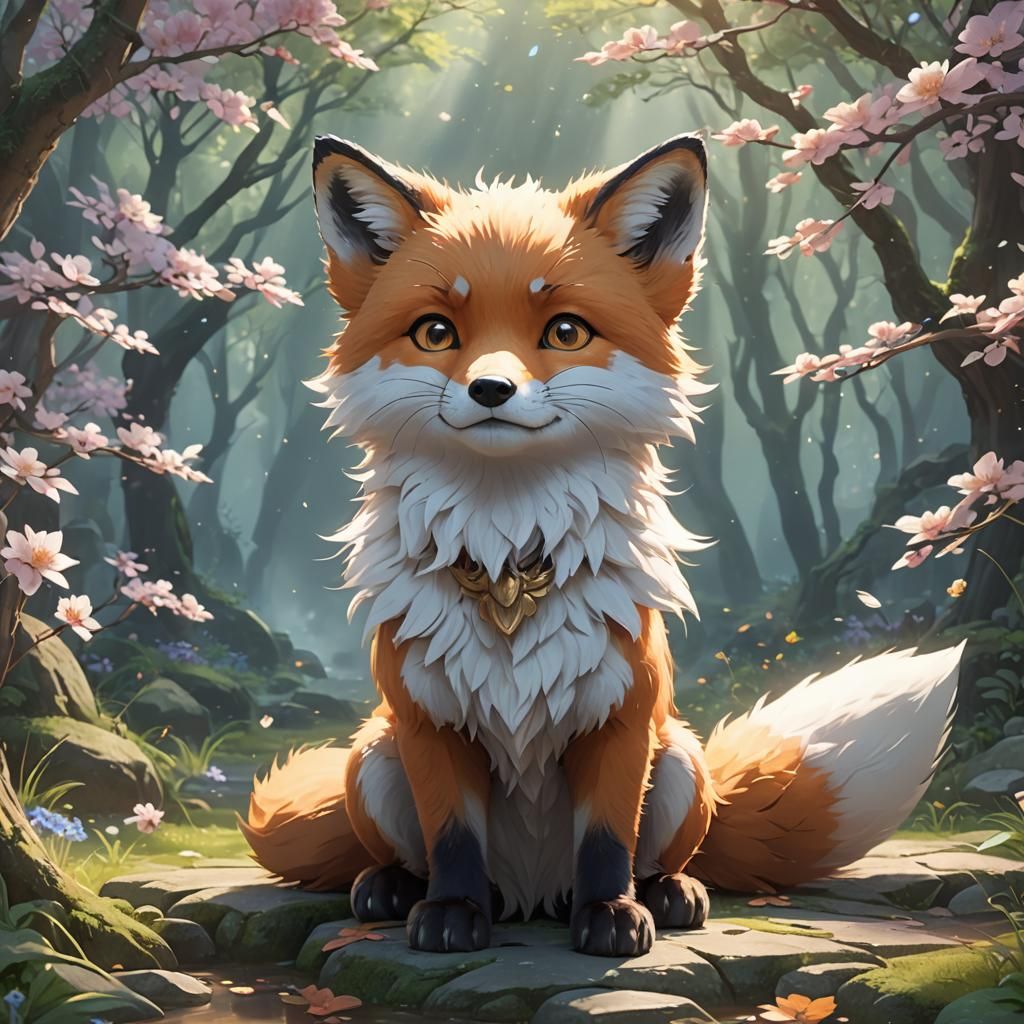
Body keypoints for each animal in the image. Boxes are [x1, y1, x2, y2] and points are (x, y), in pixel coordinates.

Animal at [241, 133, 963, 958]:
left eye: (565, 331)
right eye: (435, 332)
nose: (491, 390)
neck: (508, 557)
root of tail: (529, 897)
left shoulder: (620, 718)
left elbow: (608, 839)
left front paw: (613, 916)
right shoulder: (431, 724)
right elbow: (452, 837)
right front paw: (451, 915)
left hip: (678, 761)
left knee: (664, 854)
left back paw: (671, 892)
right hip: (374, 758)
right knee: (407, 853)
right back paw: (394, 890)